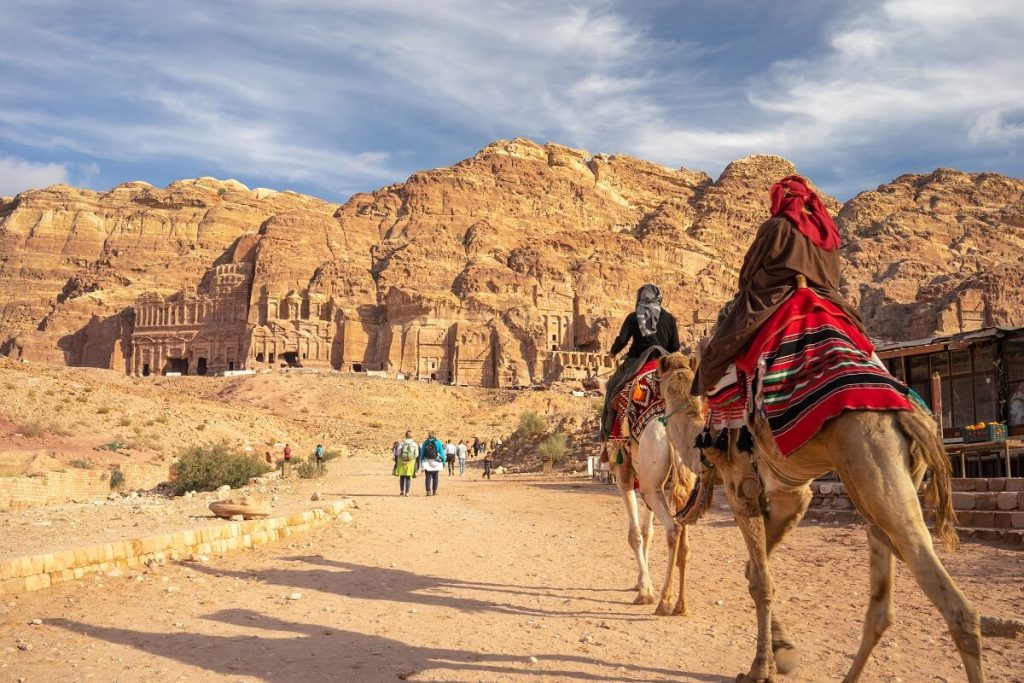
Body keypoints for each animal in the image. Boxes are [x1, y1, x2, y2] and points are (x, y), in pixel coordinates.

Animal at [606, 393, 704, 618]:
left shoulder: (624, 474)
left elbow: (635, 535)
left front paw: (644, 591)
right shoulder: (644, 480)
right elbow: (647, 532)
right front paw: (641, 582)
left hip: (650, 485)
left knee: (673, 528)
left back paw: (664, 601)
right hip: (681, 482)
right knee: (683, 540)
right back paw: (680, 605)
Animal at [655, 352, 983, 683]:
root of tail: (911, 415)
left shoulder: (742, 488)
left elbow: (761, 581)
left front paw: (760, 669)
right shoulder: (792, 496)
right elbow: (753, 571)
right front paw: (783, 650)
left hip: (872, 467)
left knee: (956, 607)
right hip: (888, 488)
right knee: (882, 603)